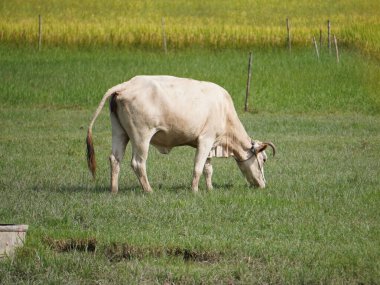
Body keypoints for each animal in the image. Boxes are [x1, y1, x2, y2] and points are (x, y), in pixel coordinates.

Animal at [86, 74, 276, 192]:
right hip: (141, 136)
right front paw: (195, 190)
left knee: (115, 159)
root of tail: (127, 84)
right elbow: (198, 167)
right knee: (138, 163)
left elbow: (208, 169)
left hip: (119, 132)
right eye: (263, 159)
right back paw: (149, 190)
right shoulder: (205, 140)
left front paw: (210, 188)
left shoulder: (211, 145)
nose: (263, 184)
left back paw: (114, 190)